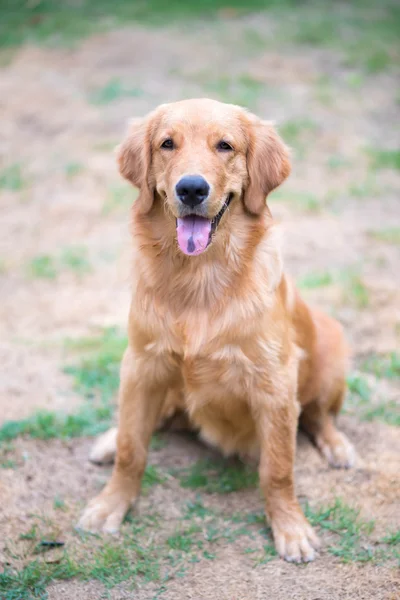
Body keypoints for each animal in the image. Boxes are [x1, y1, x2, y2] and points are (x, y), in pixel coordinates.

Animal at [78, 97, 354, 564]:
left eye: (225, 146)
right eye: (167, 144)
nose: (191, 189)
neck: (199, 279)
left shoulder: (275, 383)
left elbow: (278, 468)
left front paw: (291, 528)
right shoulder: (142, 364)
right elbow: (133, 448)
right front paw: (111, 504)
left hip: (333, 346)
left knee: (319, 415)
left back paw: (338, 447)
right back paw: (108, 441)